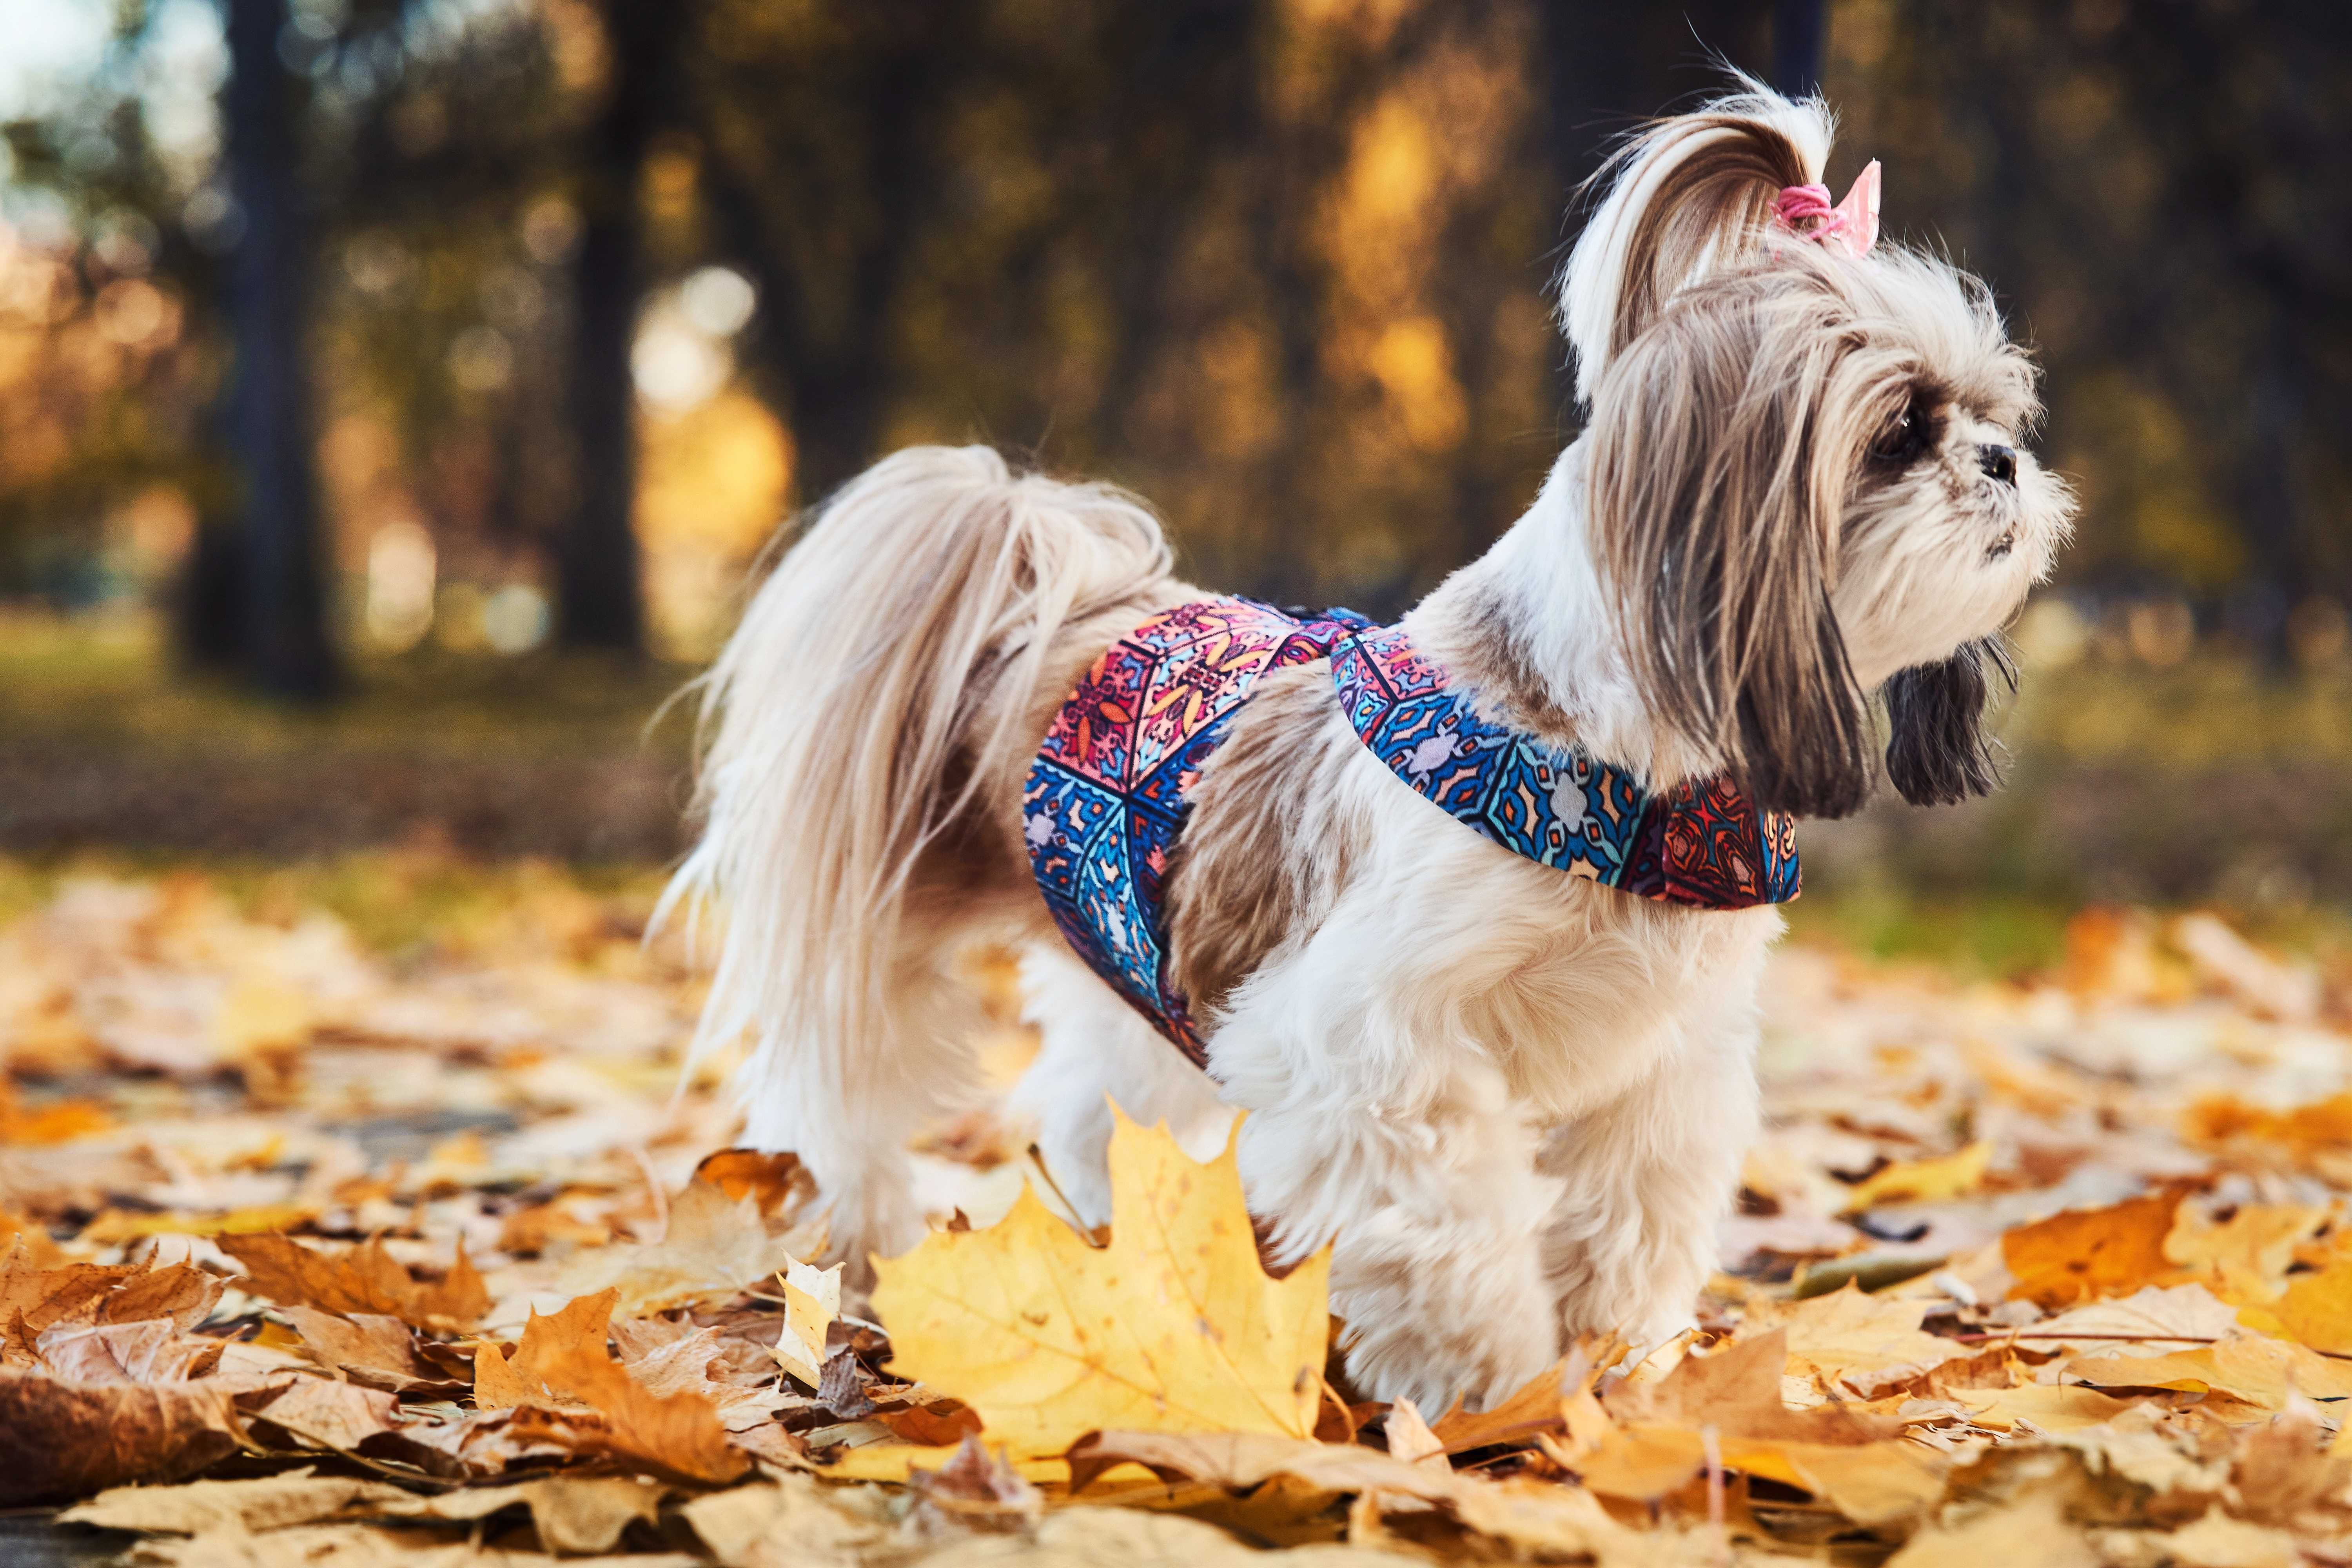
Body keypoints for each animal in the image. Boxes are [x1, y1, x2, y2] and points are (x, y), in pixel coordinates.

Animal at [668, 85, 2079, 1410]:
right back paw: (849, 1260)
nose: (2002, 462)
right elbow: (1444, 1217)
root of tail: (1038, 596)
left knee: (1092, 1108)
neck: (1623, 781)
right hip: (878, 961)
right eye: (1900, 432)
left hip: (1146, 969)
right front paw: (1491, 1387)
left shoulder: (1664, 1064)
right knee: (840, 1107)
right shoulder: (1366, 1044)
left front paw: (1613, 1370)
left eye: (1998, 409)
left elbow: (1629, 1218)